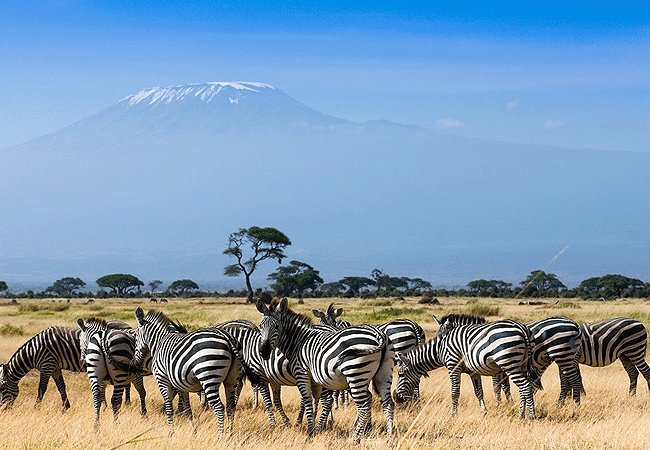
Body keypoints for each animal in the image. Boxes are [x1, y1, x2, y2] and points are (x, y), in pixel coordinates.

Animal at [256, 298, 392, 442]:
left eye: (277, 326)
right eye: (260, 326)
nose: (263, 352)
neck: (298, 342)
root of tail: (378, 334)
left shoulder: (301, 373)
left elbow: (308, 401)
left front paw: (310, 431)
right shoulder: (315, 380)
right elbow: (315, 402)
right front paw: (315, 428)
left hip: (355, 374)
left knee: (364, 405)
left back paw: (356, 437)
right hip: (383, 374)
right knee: (387, 402)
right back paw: (390, 435)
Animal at [390, 312, 536, 418]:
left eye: (401, 374)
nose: (396, 398)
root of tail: (521, 328)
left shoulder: (453, 367)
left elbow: (455, 392)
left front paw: (453, 415)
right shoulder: (474, 371)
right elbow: (479, 392)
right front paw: (484, 412)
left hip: (509, 364)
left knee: (526, 387)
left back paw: (530, 416)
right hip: (521, 365)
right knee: (523, 388)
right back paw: (521, 414)